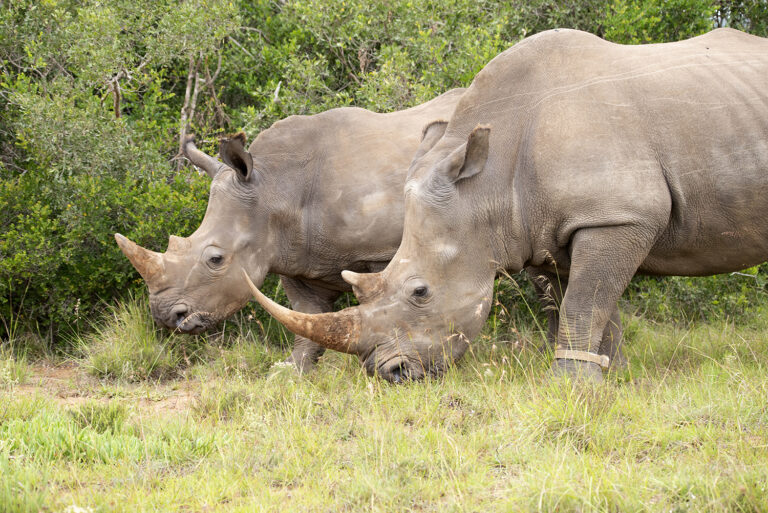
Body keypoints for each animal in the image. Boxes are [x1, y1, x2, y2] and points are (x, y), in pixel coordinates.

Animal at [115, 88, 464, 373]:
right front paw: (289, 371)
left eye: (216, 259)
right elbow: (306, 313)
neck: (275, 188)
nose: (164, 316)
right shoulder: (298, 257)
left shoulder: (381, 249)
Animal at [246, 28, 768, 382]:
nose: (388, 373)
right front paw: (611, 376)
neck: (487, 183)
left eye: (420, 292)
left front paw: (571, 384)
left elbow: (585, 301)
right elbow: (590, 303)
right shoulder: (559, 226)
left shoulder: (618, 216)